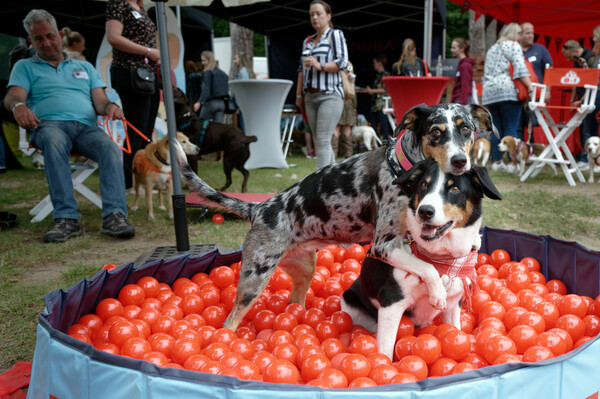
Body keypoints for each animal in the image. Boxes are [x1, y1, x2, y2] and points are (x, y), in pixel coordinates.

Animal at [342, 159, 502, 360]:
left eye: (455, 188)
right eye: (424, 185)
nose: (425, 211)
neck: (442, 258)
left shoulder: (454, 303)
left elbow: (455, 328)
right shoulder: (391, 302)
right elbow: (386, 348)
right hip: (350, 302)